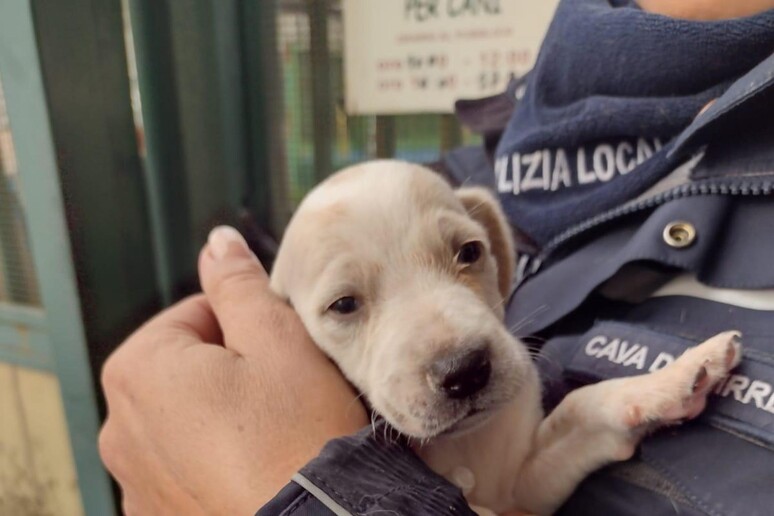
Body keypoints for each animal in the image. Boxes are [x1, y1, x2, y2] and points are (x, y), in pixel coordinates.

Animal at [270, 159, 744, 512]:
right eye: (344, 305)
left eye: (470, 252)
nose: (464, 371)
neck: (467, 447)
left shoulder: (525, 486)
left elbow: (581, 407)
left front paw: (674, 379)